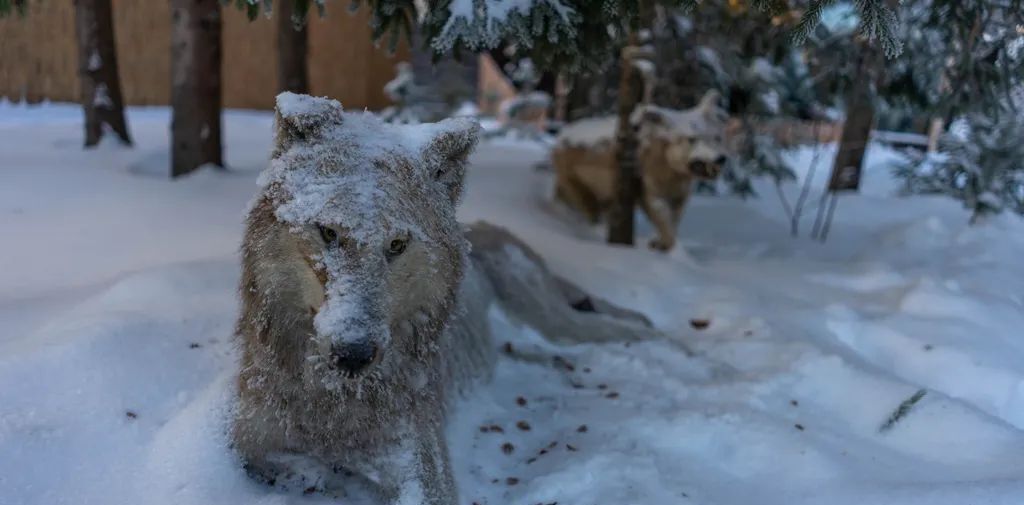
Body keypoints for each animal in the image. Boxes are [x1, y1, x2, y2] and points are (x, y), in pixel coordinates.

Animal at [231, 92, 659, 501]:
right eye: (328, 232)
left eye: (397, 244)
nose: (353, 354)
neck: (332, 406)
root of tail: (487, 231)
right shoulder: (239, 443)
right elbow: (259, 462)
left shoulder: (427, 477)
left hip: (556, 320)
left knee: (624, 328)